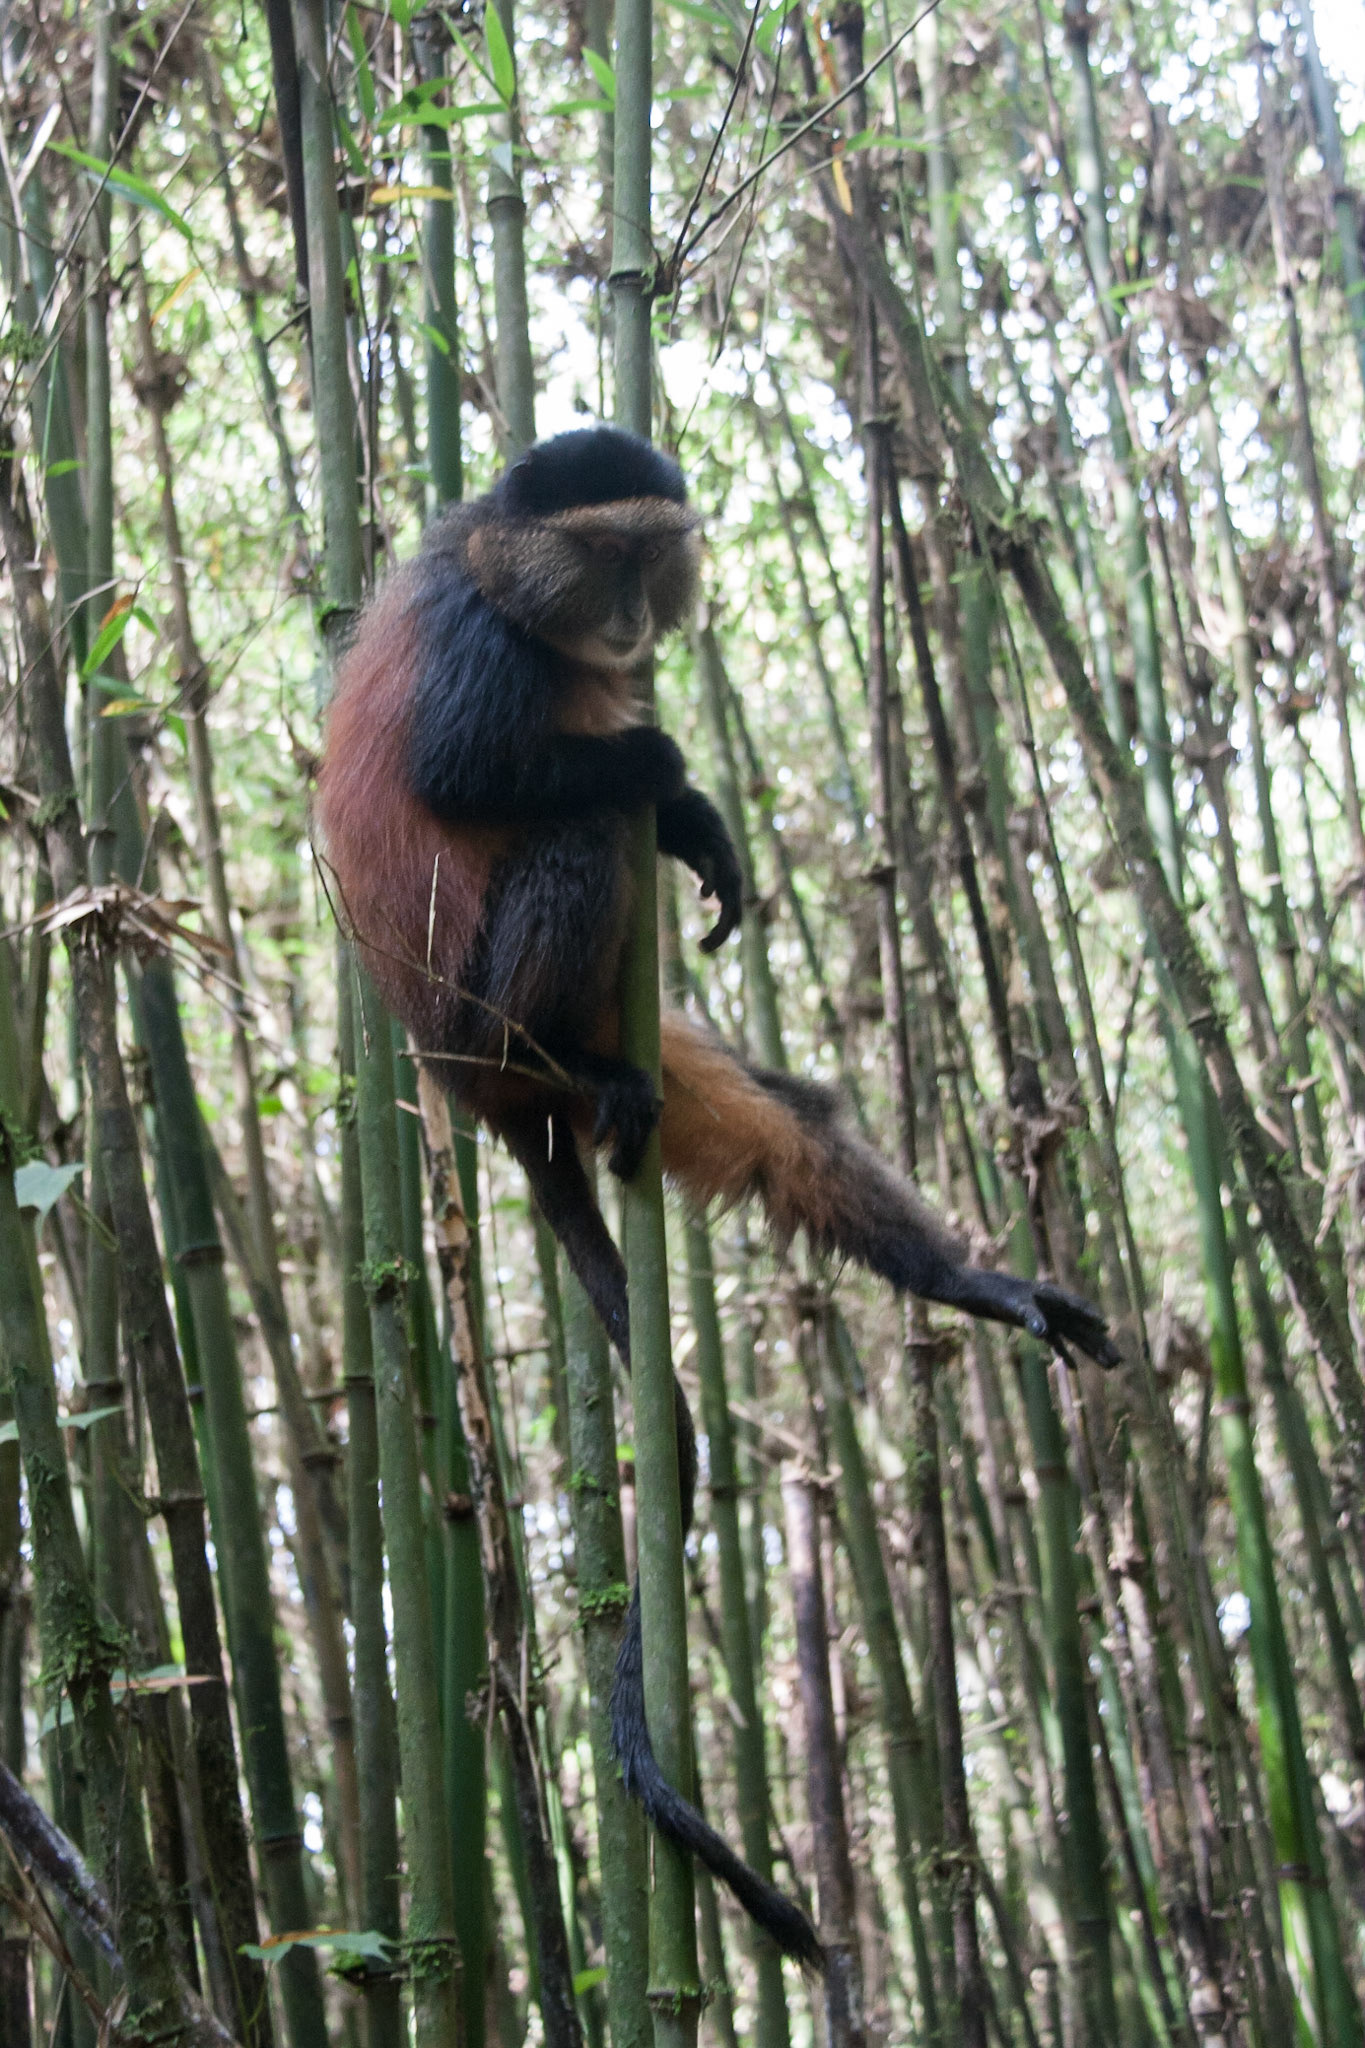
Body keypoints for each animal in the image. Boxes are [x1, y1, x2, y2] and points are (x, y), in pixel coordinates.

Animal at [318, 424, 1118, 1969]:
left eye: (653, 556)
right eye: (604, 557)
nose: (635, 621)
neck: (507, 571)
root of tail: (480, 1092)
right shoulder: (474, 638)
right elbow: (475, 764)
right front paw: (670, 769)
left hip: (644, 1051)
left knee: (780, 1120)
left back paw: (967, 1285)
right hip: (487, 1021)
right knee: (587, 820)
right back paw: (582, 995)